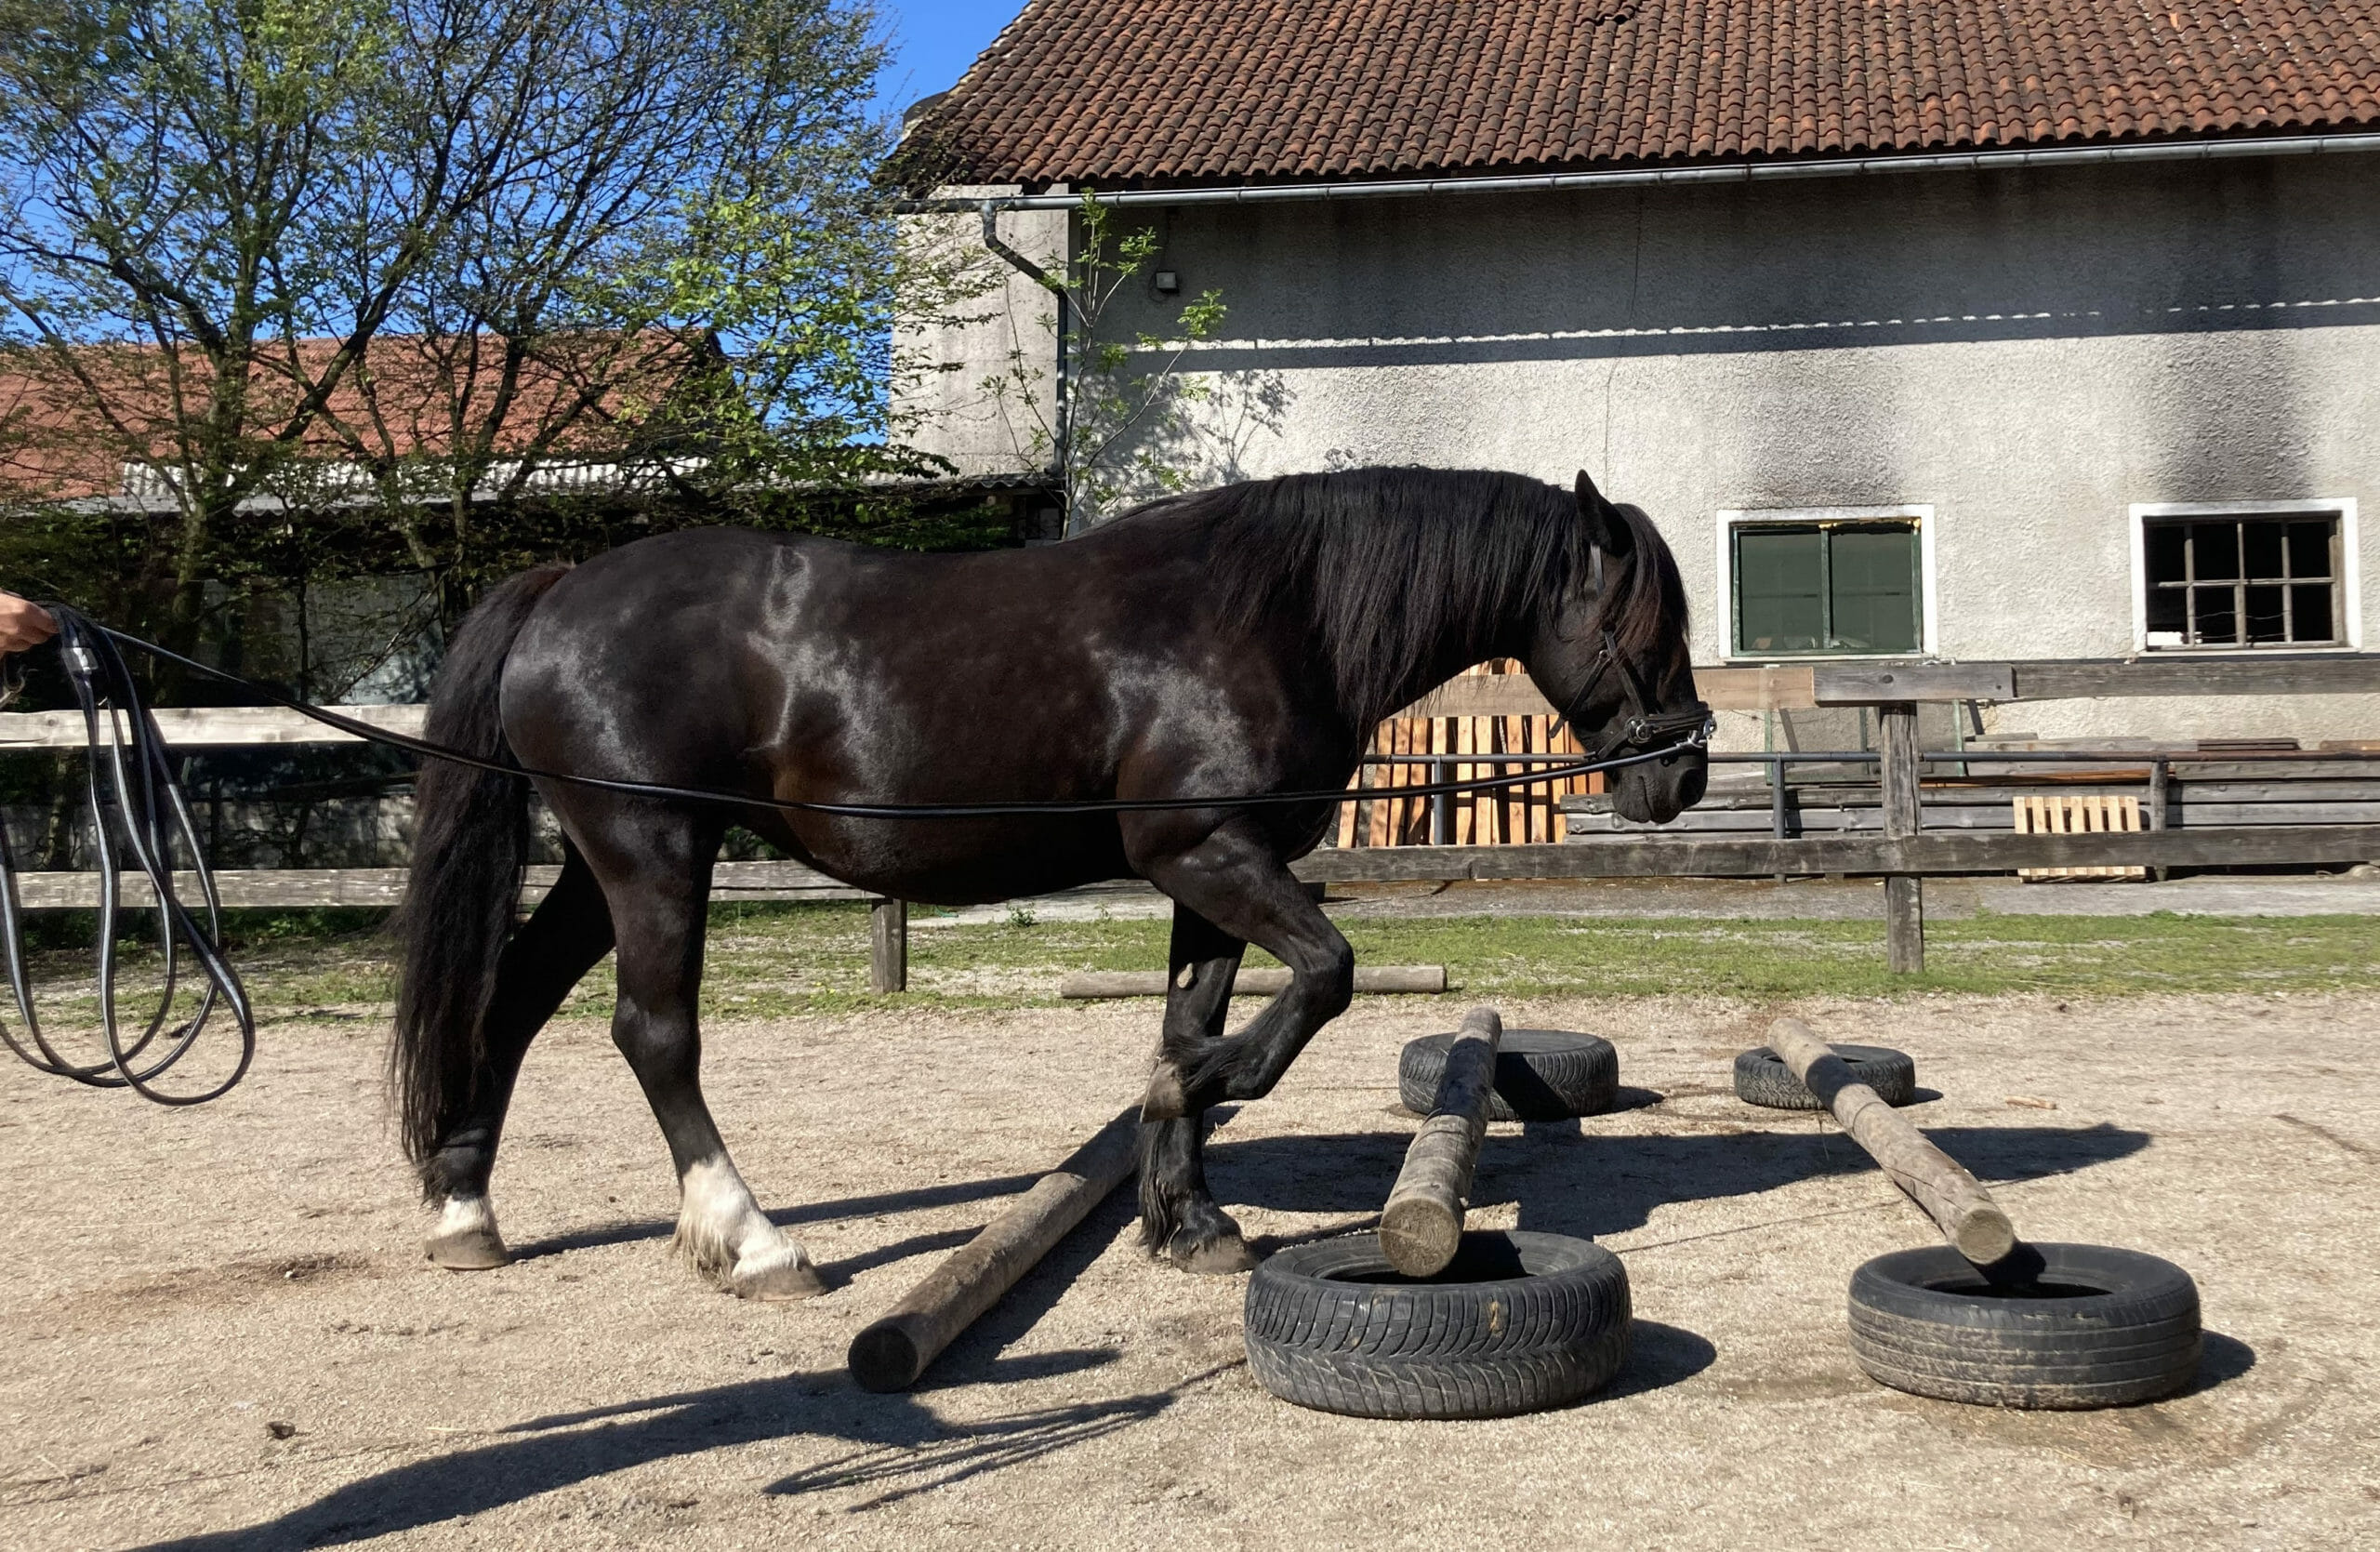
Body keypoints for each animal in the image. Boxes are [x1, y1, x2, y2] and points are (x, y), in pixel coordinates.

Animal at [390, 466, 1708, 1297]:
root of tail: (562, 588)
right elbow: (1321, 979)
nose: (1683, 771)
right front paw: (1199, 1098)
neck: (1272, 614)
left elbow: (1193, 1019)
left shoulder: (1206, 873)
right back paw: (756, 1245)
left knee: (513, 1004)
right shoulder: (1206, 850)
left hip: (602, 863)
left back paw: (464, 1213)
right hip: (655, 850)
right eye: (1641, 622)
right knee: (654, 1034)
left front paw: (1188, 1215)